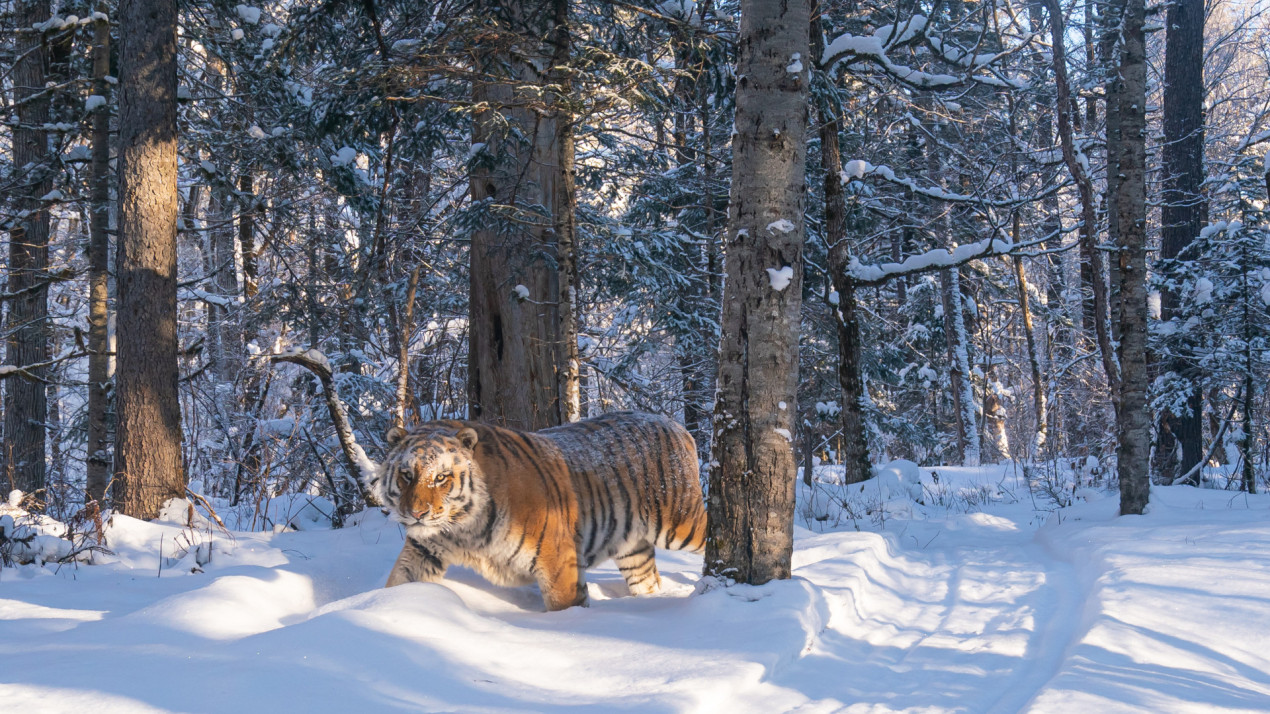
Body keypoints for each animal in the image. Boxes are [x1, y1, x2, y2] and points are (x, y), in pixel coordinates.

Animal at [370, 411, 711, 604]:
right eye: (406, 475)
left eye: (441, 477)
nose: (416, 514)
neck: (463, 528)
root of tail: (674, 423)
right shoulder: (424, 551)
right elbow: (398, 582)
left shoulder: (557, 560)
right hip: (632, 545)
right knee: (648, 580)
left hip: (681, 522)